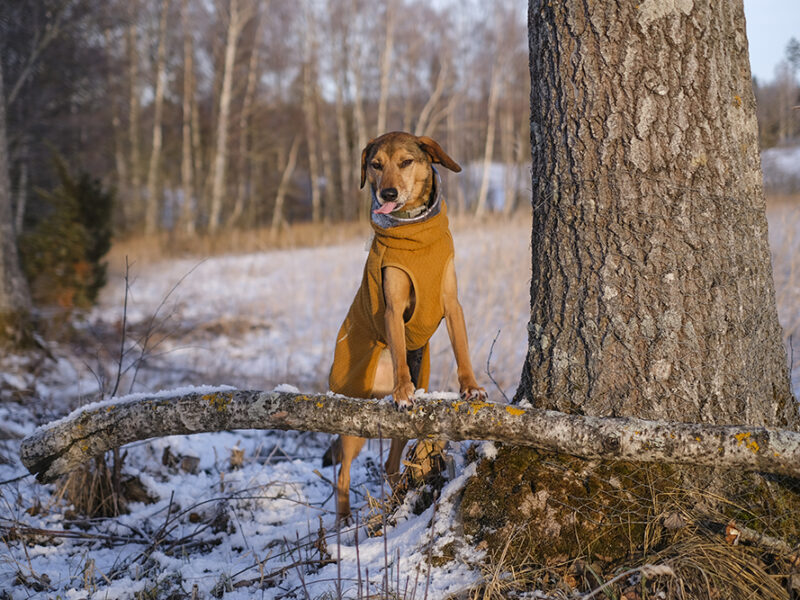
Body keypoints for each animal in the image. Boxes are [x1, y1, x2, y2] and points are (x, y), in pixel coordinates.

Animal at [324, 131, 488, 520]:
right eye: (375, 164)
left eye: (406, 162)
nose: (387, 194)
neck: (415, 231)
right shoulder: (393, 308)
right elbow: (399, 349)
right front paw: (401, 390)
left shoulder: (452, 302)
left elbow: (462, 350)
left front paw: (471, 387)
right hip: (353, 412)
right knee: (343, 472)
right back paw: (343, 520)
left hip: (403, 421)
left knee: (389, 465)